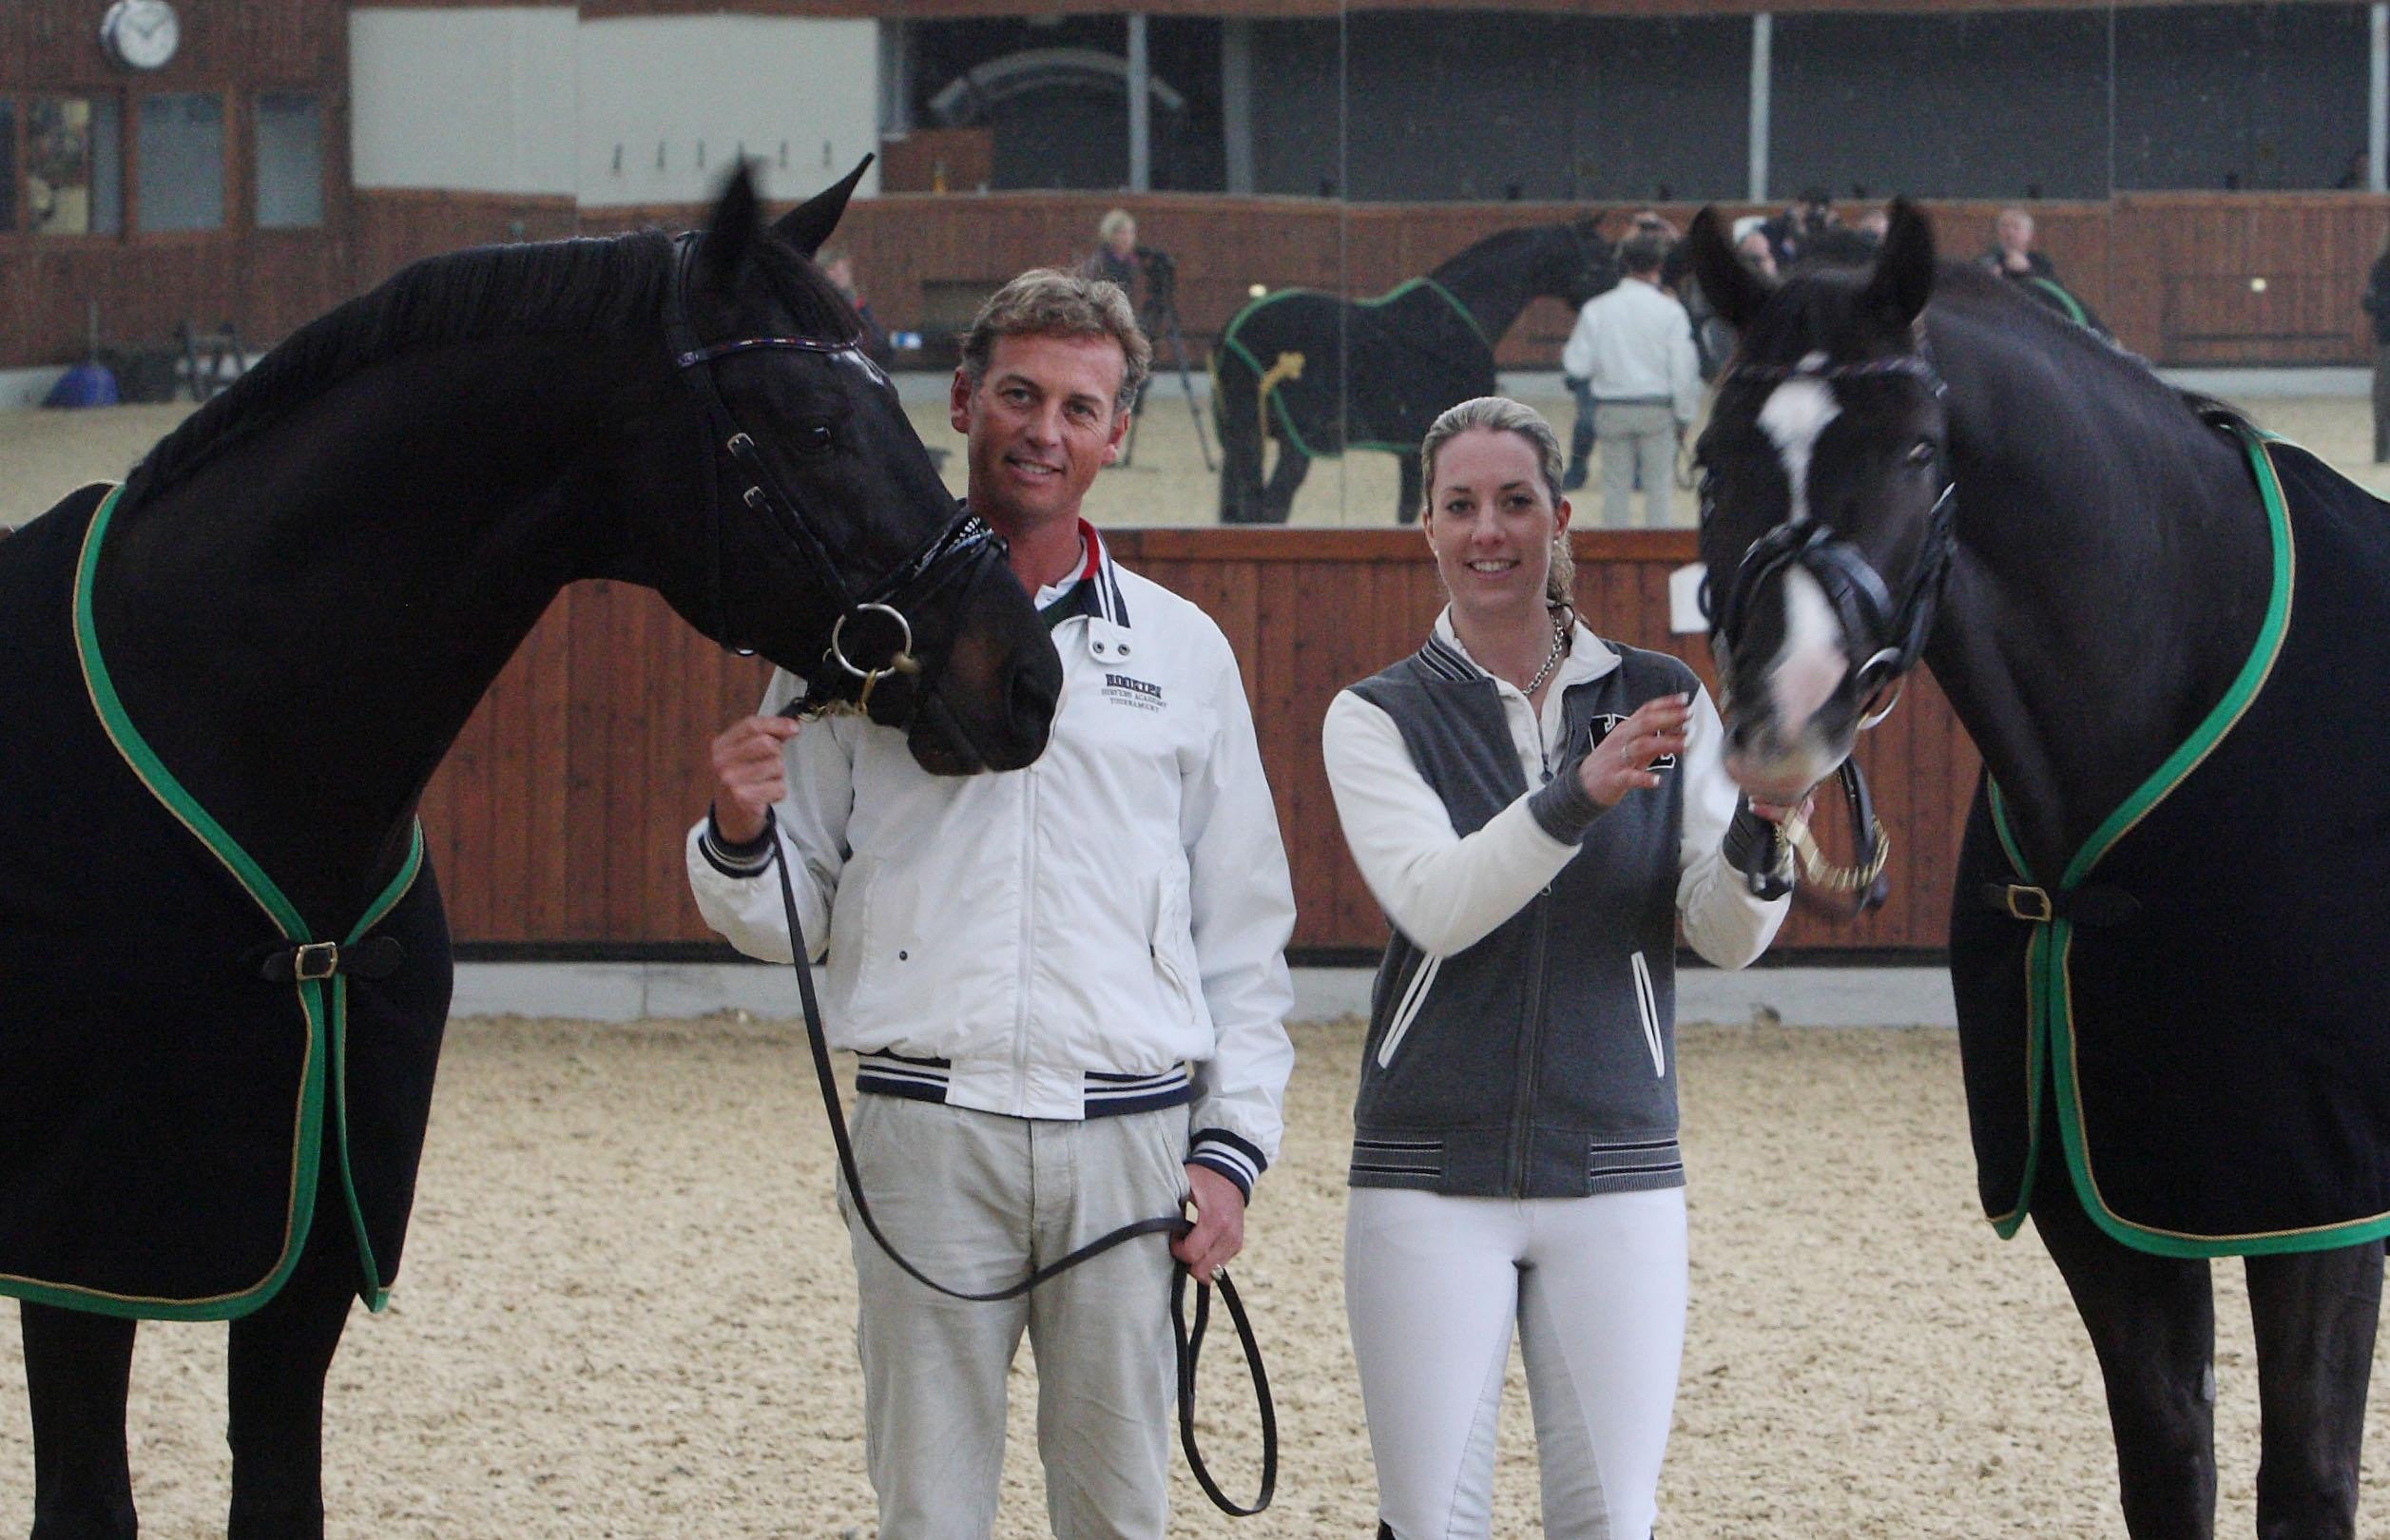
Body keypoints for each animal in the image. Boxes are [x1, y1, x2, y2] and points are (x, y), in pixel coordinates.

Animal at [1205, 220, 1615, 526]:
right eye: (1600, 255)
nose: (1617, 293)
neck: (1451, 322)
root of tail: (1232, 334)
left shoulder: (1408, 451)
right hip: (1291, 444)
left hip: (1239, 440)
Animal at [1682, 198, 2390, 1530]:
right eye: (1711, 458)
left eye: (1917, 454)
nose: (1779, 716)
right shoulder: (2096, 1196)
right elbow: (2167, 1463)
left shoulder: (2318, 1201)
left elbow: (2306, 1482)